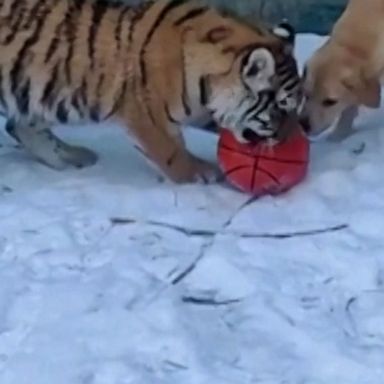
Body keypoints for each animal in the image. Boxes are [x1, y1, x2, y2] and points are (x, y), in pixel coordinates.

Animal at [0, 0, 302, 184]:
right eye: (280, 108)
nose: (288, 141)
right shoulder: (148, 115)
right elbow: (171, 152)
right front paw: (199, 173)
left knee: (23, 127)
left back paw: (73, 156)